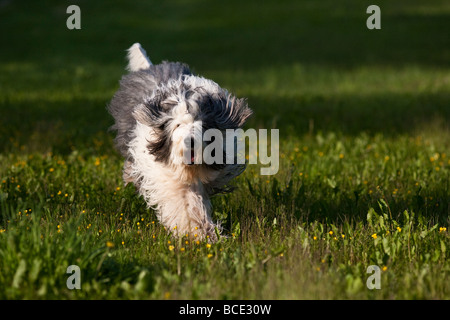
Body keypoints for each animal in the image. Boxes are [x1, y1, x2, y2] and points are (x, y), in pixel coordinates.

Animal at [107, 43, 251, 241]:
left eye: (202, 124)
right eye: (177, 125)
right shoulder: (167, 176)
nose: (190, 141)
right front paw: (199, 232)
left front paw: (209, 233)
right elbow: (184, 202)